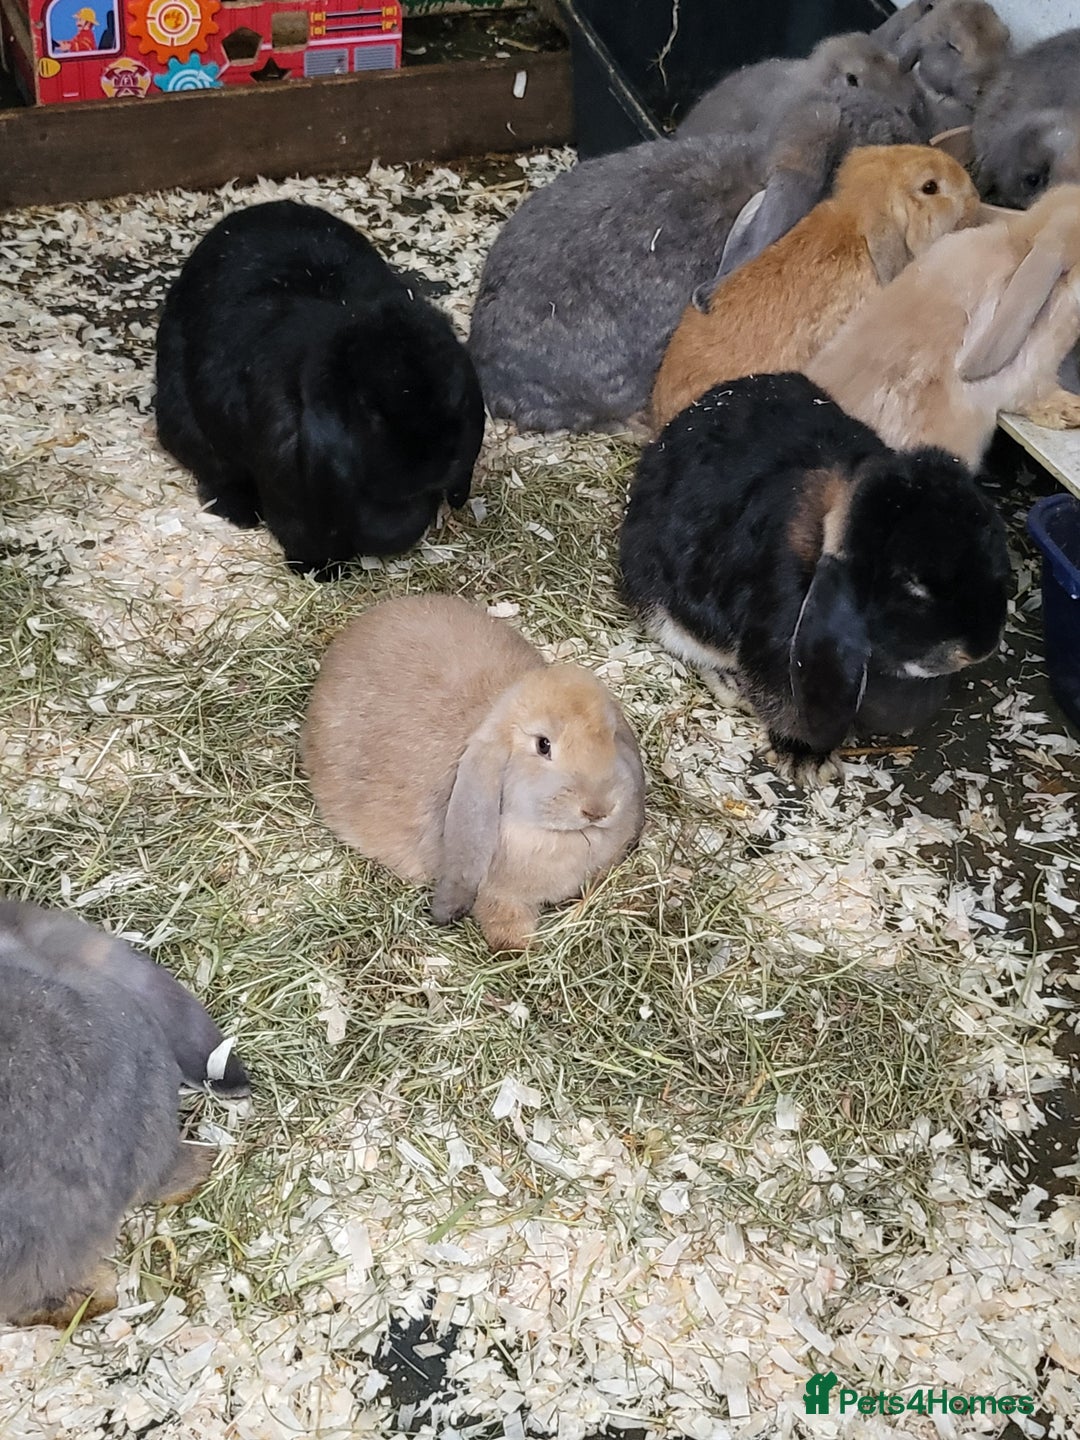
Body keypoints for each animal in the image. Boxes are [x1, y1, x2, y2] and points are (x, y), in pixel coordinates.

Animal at [155, 200, 485, 578]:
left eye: (455, 398)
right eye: (370, 411)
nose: (434, 463)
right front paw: (320, 572)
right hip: (184, 422)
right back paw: (239, 512)